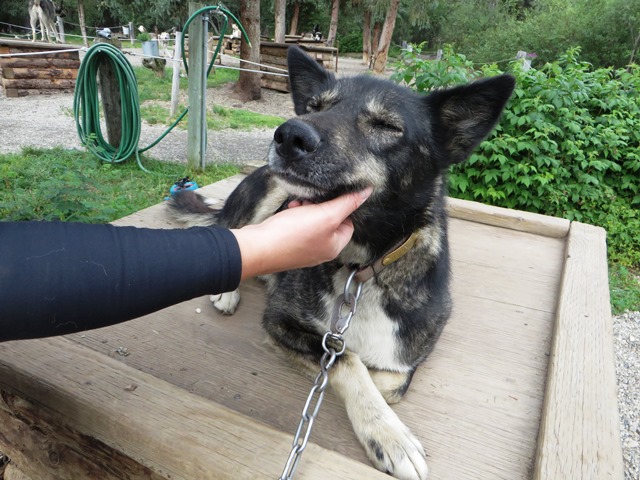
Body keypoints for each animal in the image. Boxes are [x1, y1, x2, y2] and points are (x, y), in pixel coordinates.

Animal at [168, 46, 512, 480]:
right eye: (316, 106)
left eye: (386, 125)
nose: (289, 135)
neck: (361, 265)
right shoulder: (281, 322)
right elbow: (346, 360)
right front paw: (388, 435)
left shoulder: (409, 353)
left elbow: (390, 381)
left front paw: (385, 414)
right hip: (267, 194)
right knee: (232, 232)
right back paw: (228, 292)